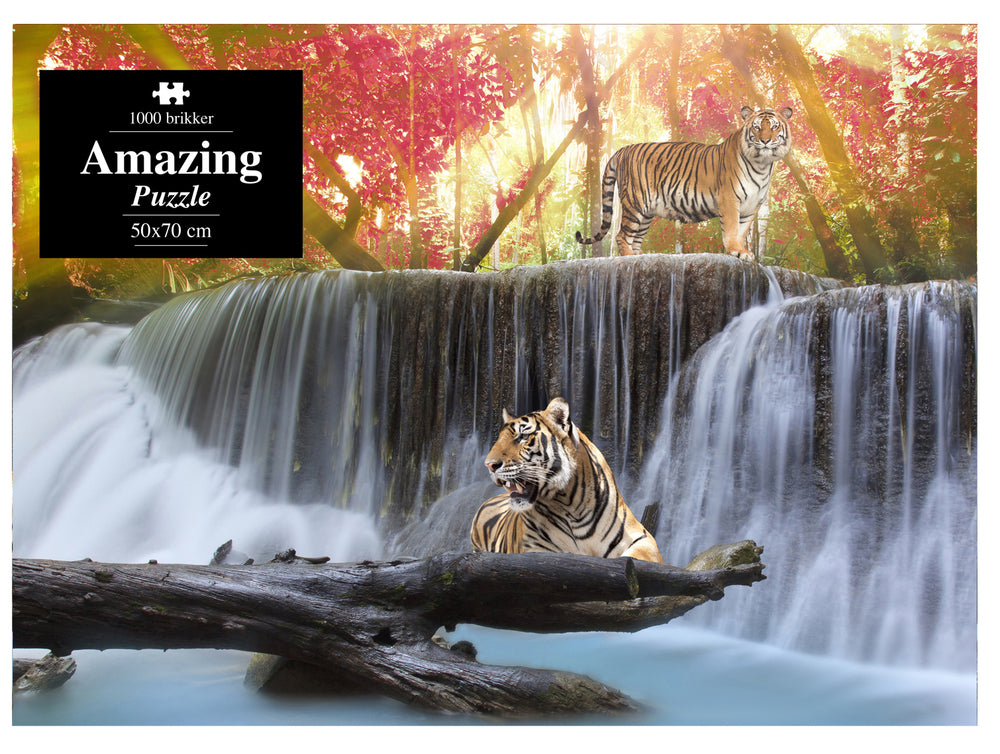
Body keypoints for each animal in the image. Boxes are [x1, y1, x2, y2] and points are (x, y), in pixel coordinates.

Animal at [470, 397, 663, 563]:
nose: (489, 465)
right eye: (498, 439)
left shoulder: (642, 538)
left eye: (523, 437)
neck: (571, 505)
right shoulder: (534, 549)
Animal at [575, 106, 793, 260]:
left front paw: (742, 251)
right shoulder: (730, 199)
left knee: (634, 239)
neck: (762, 164)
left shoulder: (751, 206)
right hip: (635, 204)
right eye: (757, 127)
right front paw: (735, 251)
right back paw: (629, 258)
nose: (765, 141)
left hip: (646, 212)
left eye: (774, 126)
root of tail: (622, 150)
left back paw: (640, 257)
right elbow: (731, 229)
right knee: (621, 235)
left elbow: (741, 232)